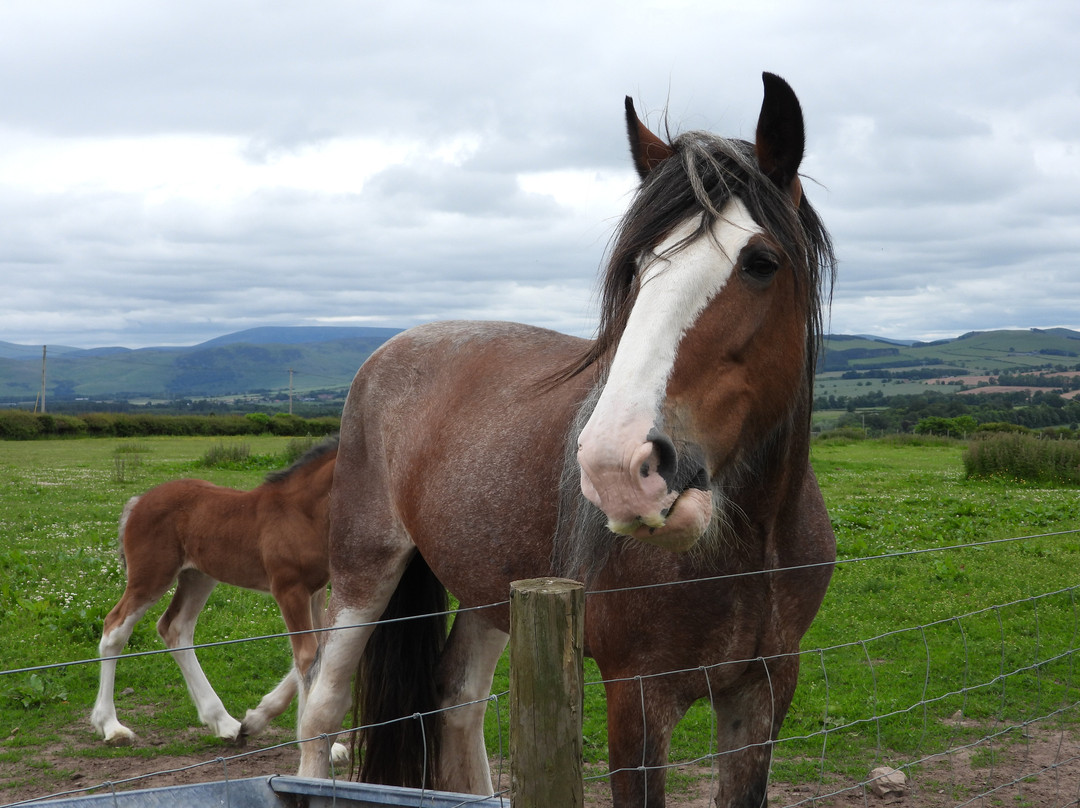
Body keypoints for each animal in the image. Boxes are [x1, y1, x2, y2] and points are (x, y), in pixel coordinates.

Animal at [91, 437, 341, 755]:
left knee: (175, 628)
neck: (301, 512)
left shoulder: (317, 592)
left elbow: (321, 651)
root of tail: (138, 502)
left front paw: (329, 744)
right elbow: (307, 657)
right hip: (150, 577)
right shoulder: (289, 589)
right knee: (115, 629)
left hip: (198, 576)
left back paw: (225, 723)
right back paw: (111, 726)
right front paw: (314, 742)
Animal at [297, 72, 837, 807]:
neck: (751, 544)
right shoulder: (636, 693)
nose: (616, 465)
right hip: (364, 566)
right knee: (321, 708)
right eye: (636, 267)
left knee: (458, 698)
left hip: (491, 588)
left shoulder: (766, 685)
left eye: (761, 262)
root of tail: (391, 351)